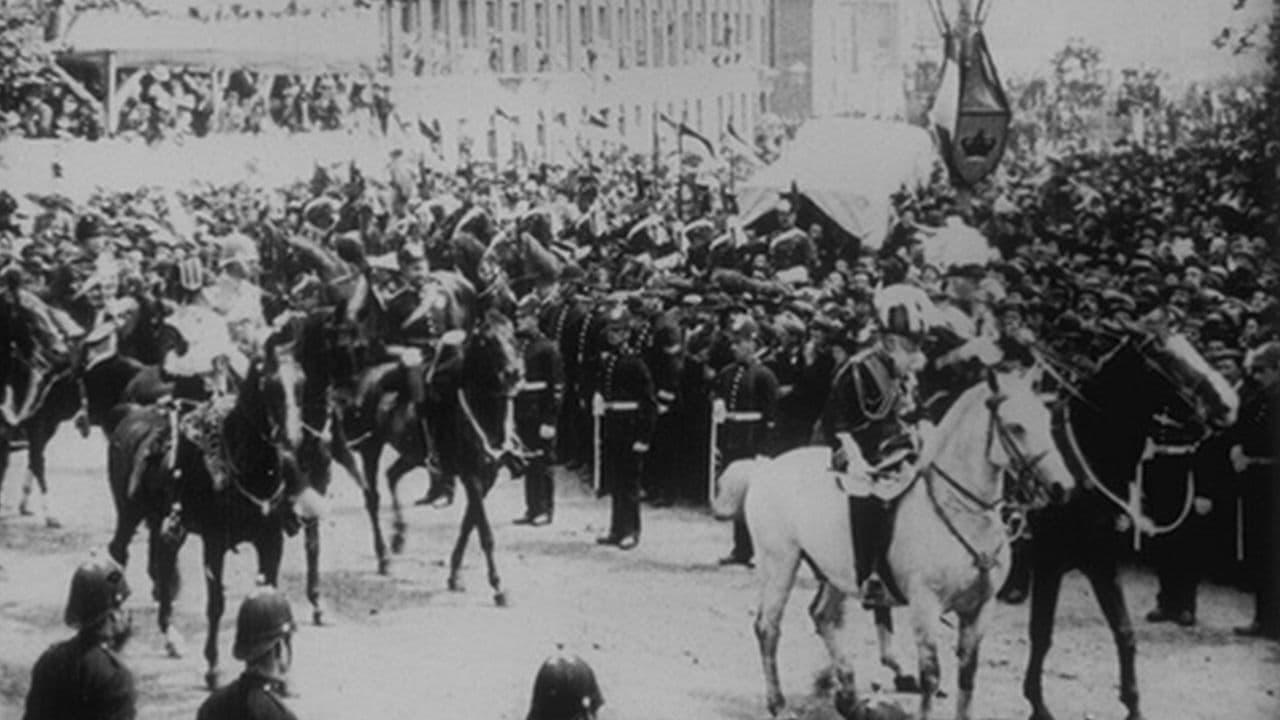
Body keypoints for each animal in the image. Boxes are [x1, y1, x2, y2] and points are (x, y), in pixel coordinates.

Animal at [107, 322, 322, 686]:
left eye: (302, 381)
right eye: (269, 383)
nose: (293, 439)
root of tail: (131, 414)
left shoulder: (270, 541)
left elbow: (270, 598)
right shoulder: (214, 544)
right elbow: (216, 604)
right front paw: (213, 667)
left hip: (165, 522)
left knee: (163, 563)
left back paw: (171, 635)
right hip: (128, 514)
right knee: (119, 553)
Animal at [716, 368, 1075, 717]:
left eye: (1047, 421)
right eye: (1016, 426)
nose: (1063, 488)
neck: (959, 511)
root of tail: (766, 466)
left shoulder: (979, 609)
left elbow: (967, 677)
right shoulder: (925, 606)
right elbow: (931, 677)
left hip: (836, 573)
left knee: (823, 617)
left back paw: (849, 698)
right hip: (780, 564)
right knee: (768, 627)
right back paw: (779, 704)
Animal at [1018, 322, 1239, 717]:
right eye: (1164, 355)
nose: (1229, 404)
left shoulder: (1102, 562)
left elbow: (1124, 631)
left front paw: (1133, 703)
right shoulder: (1049, 563)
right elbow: (1041, 633)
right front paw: (1037, 703)